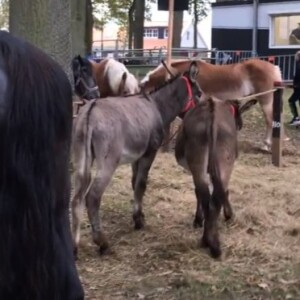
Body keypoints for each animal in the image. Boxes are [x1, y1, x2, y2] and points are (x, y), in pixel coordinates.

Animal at [70, 60, 202, 255]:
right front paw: (138, 220)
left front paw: (139, 215)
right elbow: (141, 184)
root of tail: (90, 111)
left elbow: (134, 183)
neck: (157, 106)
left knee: (76, 197)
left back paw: (74, 246)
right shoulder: (149, 153)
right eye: (199, 94)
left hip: (82, 158)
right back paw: (102, 242)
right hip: (108, 162)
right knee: (92, 197)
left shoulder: (136, 157)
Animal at [176, 96, 258, 258]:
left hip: (201, 161)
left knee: (207, 197)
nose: (240, 125)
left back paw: (209, 242)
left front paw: (198, 220)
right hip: (222, 162)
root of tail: (211, 111)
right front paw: (228, 215)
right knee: (214, 197)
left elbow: (199, 193)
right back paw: (212, 244)